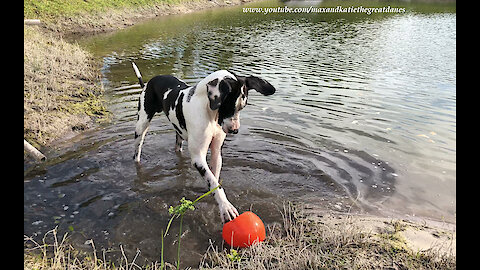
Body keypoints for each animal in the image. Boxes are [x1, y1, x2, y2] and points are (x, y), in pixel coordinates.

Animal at [131, 62, 276, 223]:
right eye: (227, 105)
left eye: (242, 107)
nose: (235, 130)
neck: (210, 114)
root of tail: (149, 82)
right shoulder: (198, 158)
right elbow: (213, 181)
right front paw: (226, 207)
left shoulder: (216, 152)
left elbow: (214, 179)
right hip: (141, 126)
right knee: (137, 150)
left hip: (178, 133)